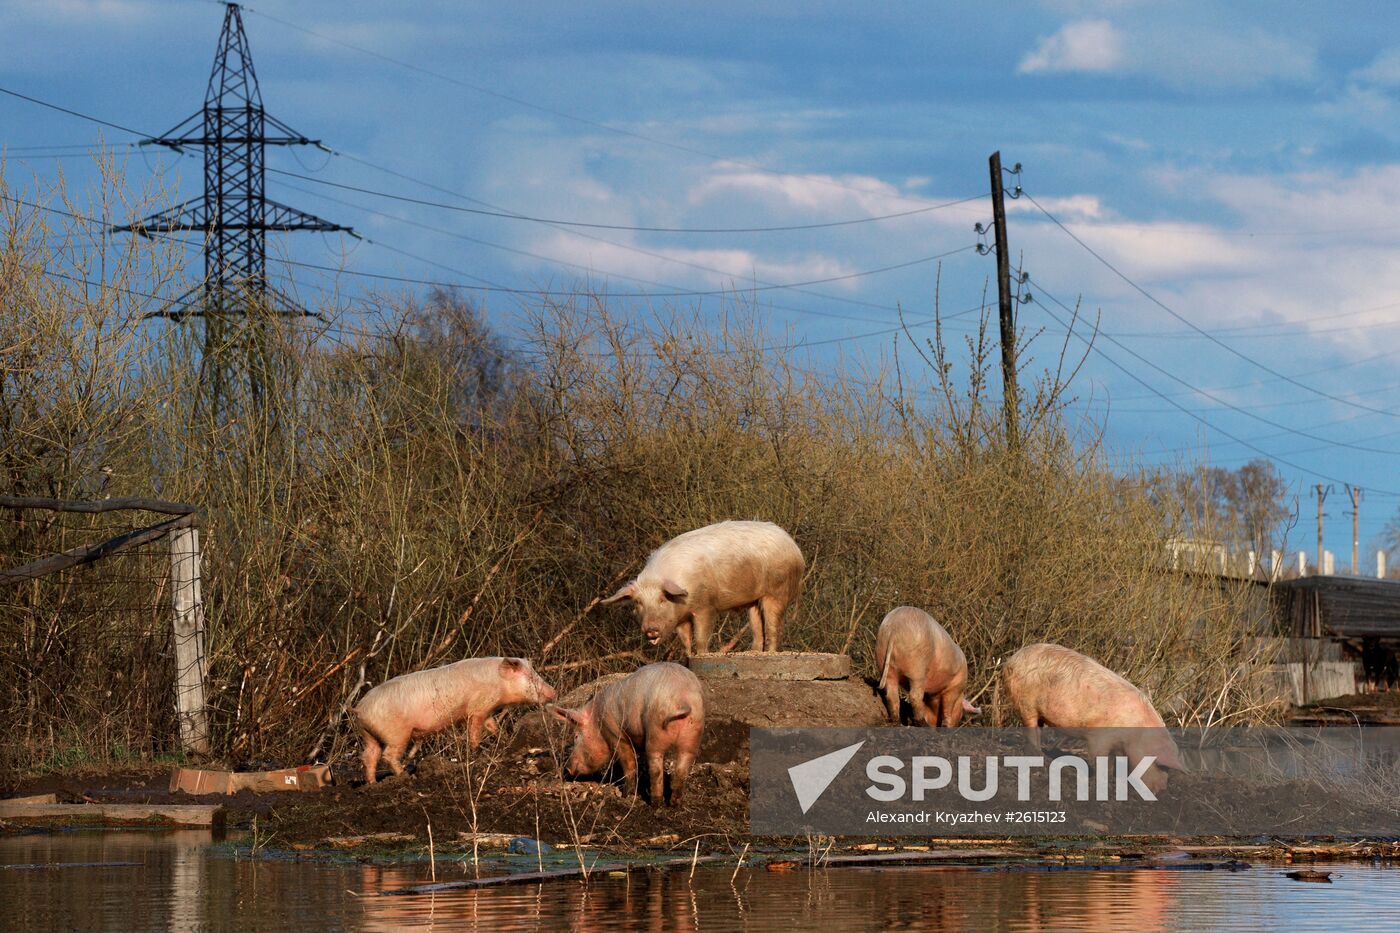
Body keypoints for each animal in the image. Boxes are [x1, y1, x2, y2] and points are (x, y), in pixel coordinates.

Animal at [352, 652, 554, 784]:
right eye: (530, 677)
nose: (554, 691)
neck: (498, 683)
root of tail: (360, 709)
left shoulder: (486, 709)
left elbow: (492, 725)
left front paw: (503, 740)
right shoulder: (477, 708)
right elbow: (475, 731)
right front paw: (475, 751)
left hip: (369, 735)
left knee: (369, 757)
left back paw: (372, 784)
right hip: (397, 734)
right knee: (388, 755)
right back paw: (405, 777)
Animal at [546, 658, 700, 801]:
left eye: (576, 736)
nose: (567, 768)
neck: (597, 721)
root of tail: (681, 699)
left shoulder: (615, 733)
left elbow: (629, 764)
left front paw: (625, 795)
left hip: (655, 728)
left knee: (656, 768)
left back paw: (655, 803)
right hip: (693, 732)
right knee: (682, 767)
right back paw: (674, 803)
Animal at [599, 515, 806, 652]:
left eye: (662, 600)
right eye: (638, 603)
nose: (650, 629)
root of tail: (794, 548)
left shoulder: (706, 606)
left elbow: (700, 637)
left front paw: (701, 655)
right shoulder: (680, 616)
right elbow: (685, 640)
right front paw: (687, 656)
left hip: (777, 591)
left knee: (773, 625)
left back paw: (769, 652)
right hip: (753, 600)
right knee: (757, 625)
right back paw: (752, 652)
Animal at [1002, 638, 1187, 790]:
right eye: (1162, 766)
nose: (1161, 790)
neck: (1136, 734)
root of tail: (1012, 659)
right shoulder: (1100, 737)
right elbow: (1099, 756)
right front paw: (1102, 780)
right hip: (1026, 701)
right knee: (1031, 727)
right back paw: (1039, 755)